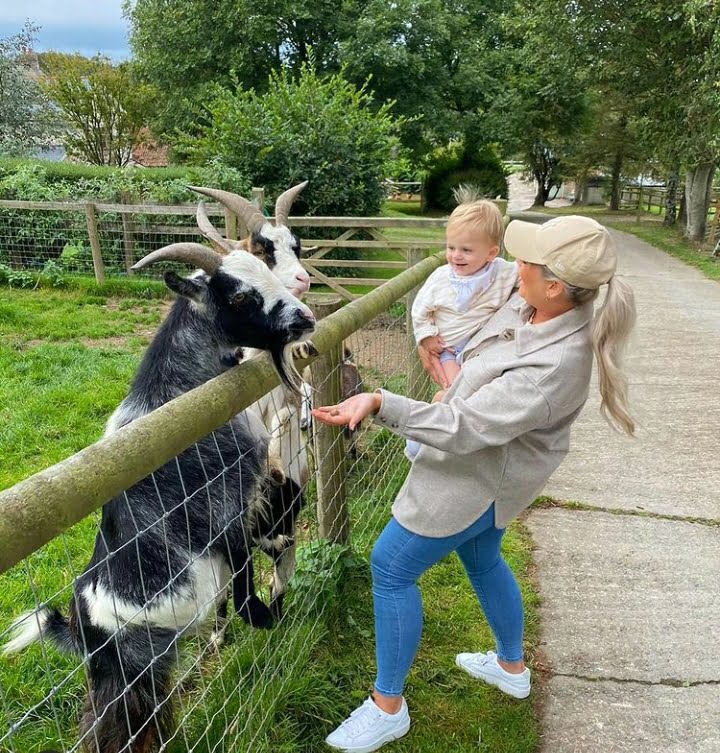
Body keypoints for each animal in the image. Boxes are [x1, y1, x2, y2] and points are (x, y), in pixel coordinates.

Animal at [2, 242, 316, 752]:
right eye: (239, 297)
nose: (306, 317)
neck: (177, 393)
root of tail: (82, 626)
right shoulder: (225, 509)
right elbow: (244, 584)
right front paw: (266, 614)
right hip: (130, 673)